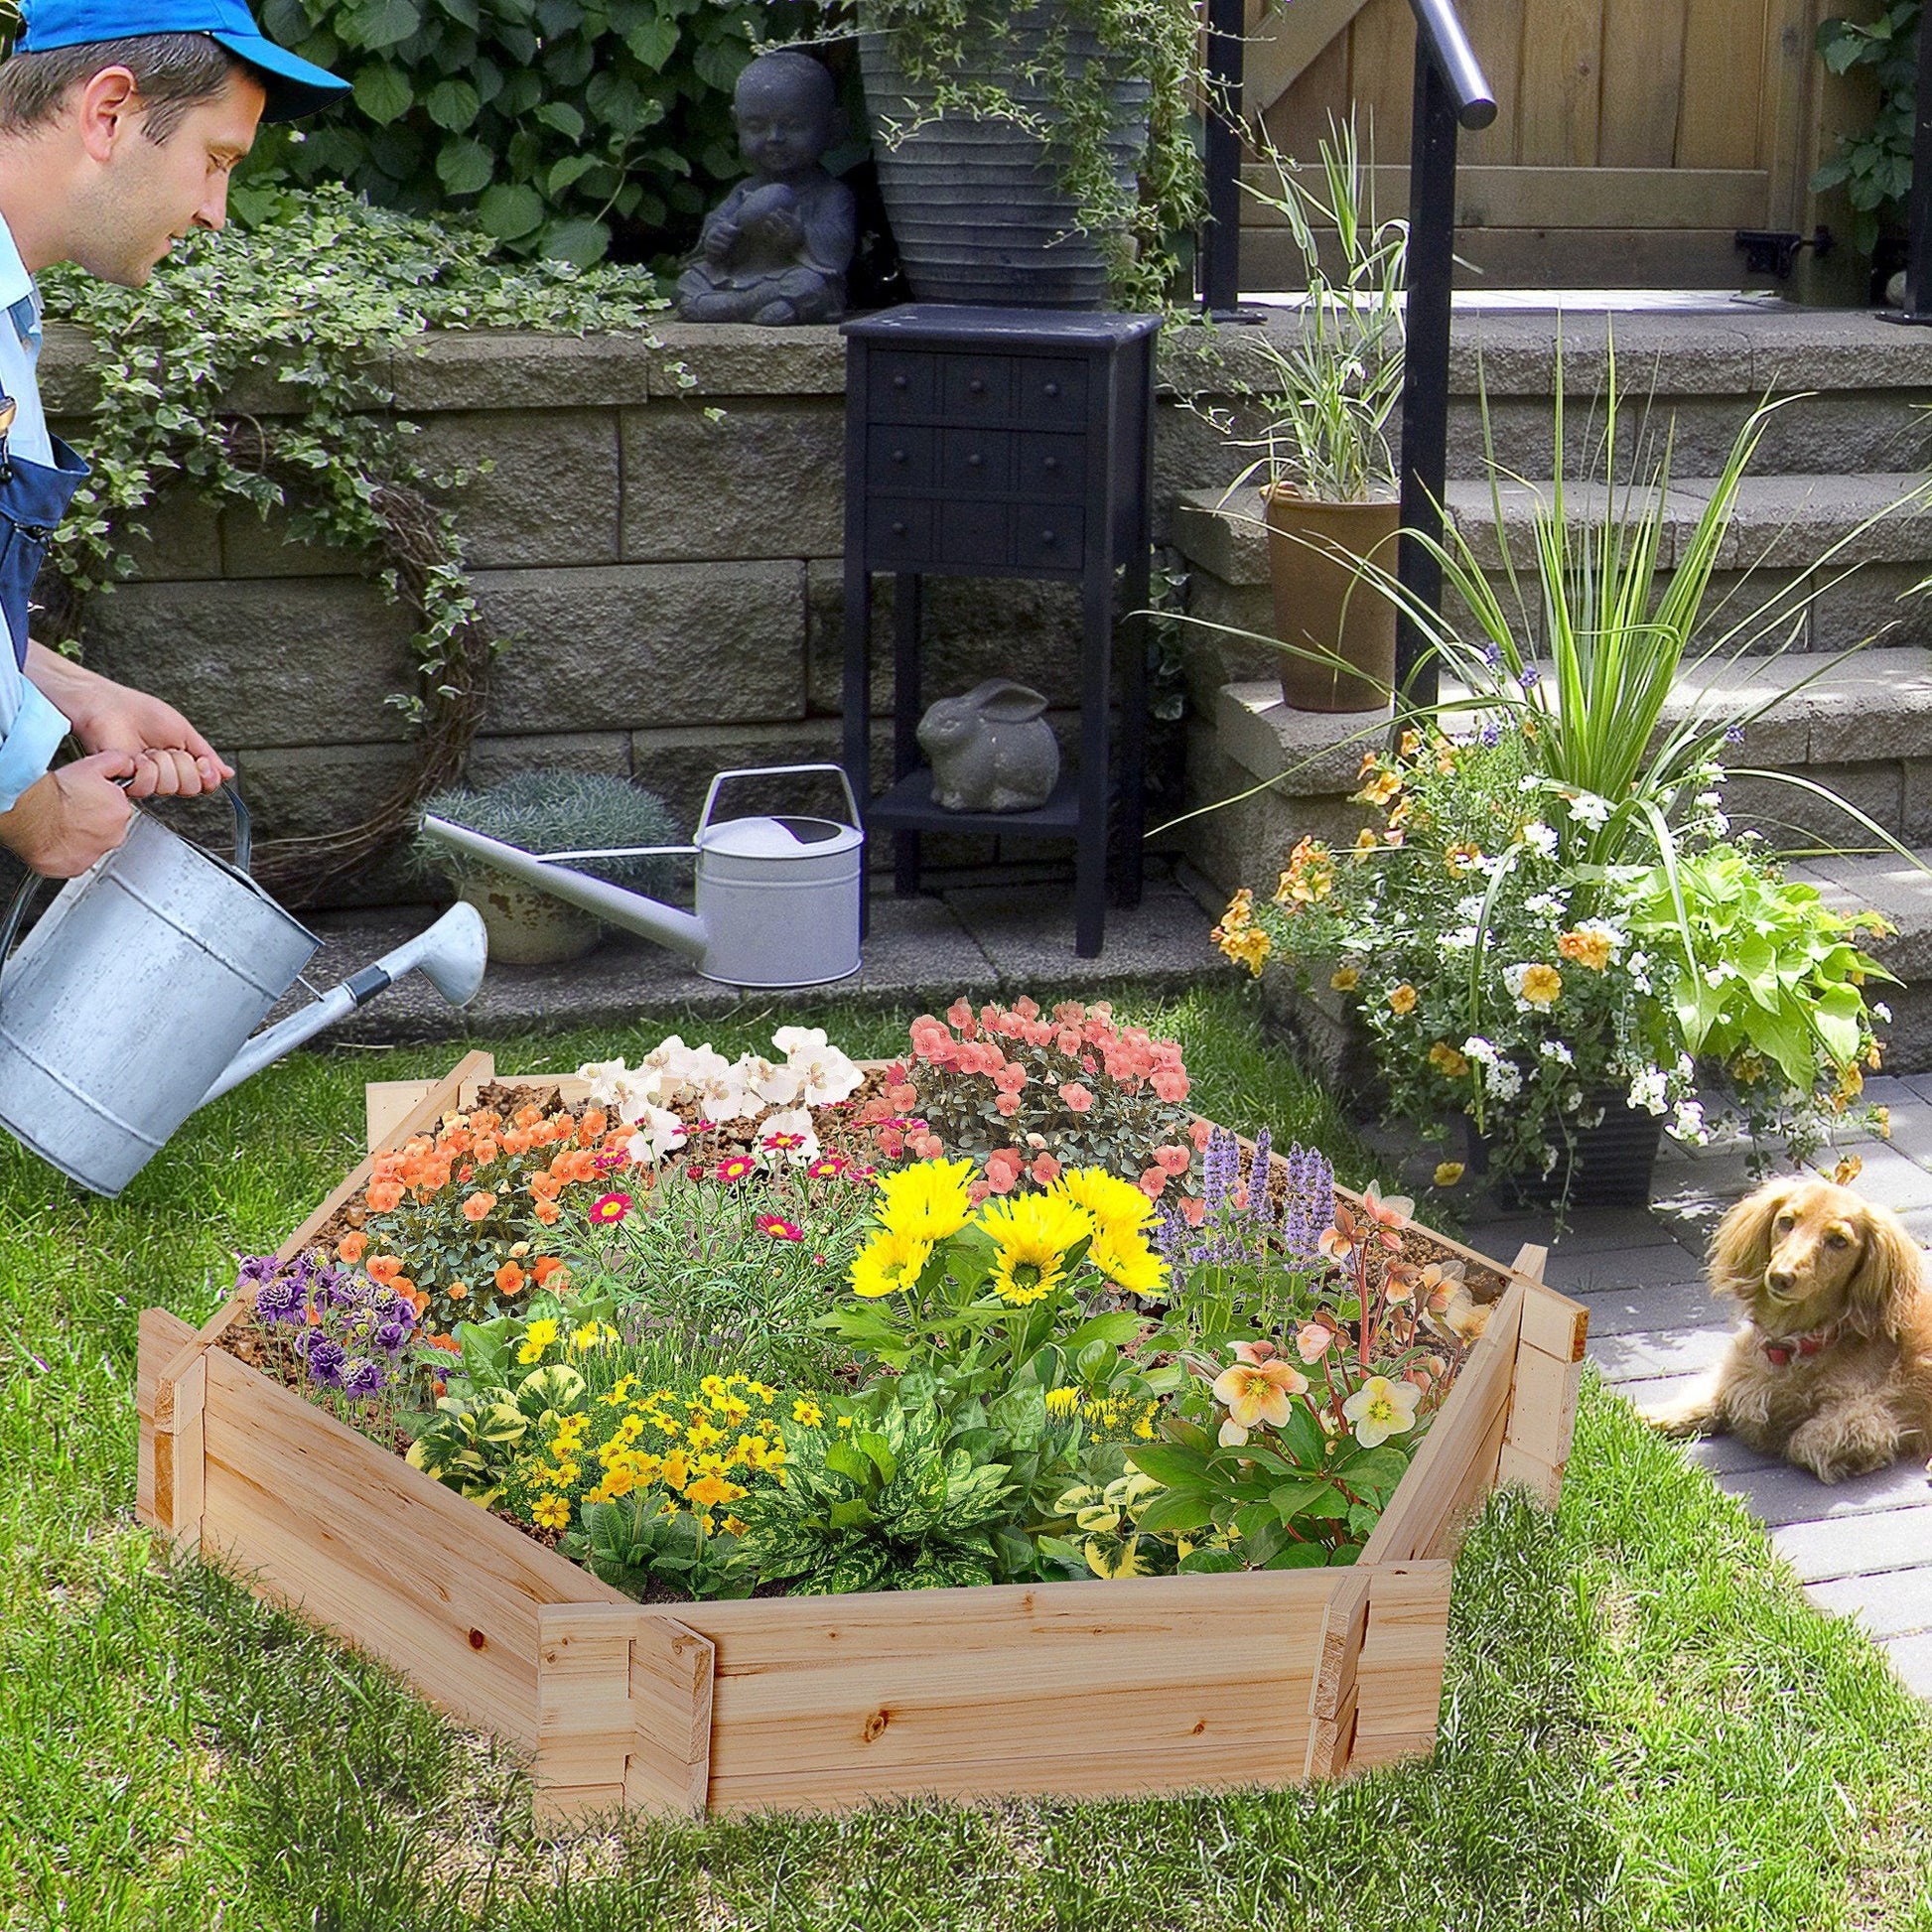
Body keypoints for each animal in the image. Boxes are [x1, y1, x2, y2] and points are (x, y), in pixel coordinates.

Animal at [1645, 1174, 1932, 1475]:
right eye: (1786, 1221)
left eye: (1839, 1241)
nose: (1780, 1277)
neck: (1793, 1345)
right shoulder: (1737, 1372)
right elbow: (1715, 1393)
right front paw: (1656, 1414)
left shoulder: (1866, 1414)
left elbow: (1803, 1441)